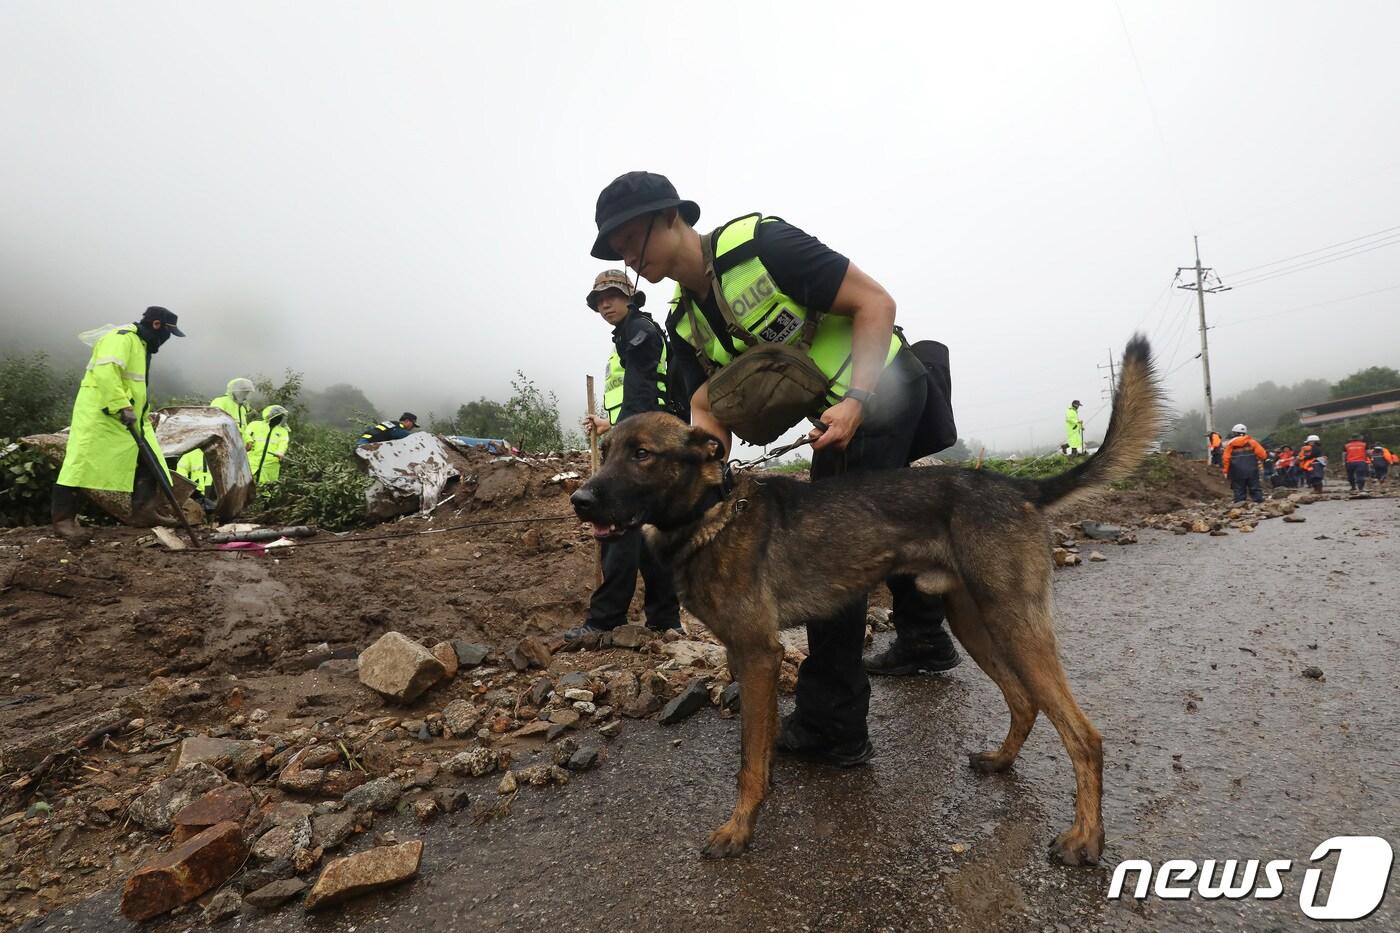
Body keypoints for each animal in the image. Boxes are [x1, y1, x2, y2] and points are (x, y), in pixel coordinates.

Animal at [568, 332, 1159, 857]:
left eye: (643, 454)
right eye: (608, 450)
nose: (580, 500)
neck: (709, 514)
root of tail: (1017, 487)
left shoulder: (758, 653)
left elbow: (748, 762)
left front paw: (739, 829)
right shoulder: (744, 655)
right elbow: (757, 750)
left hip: (1016, 623)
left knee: (1084, 734)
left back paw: (1085, 839)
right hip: (973, 621)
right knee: (1024, 700)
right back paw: (1000, 762)